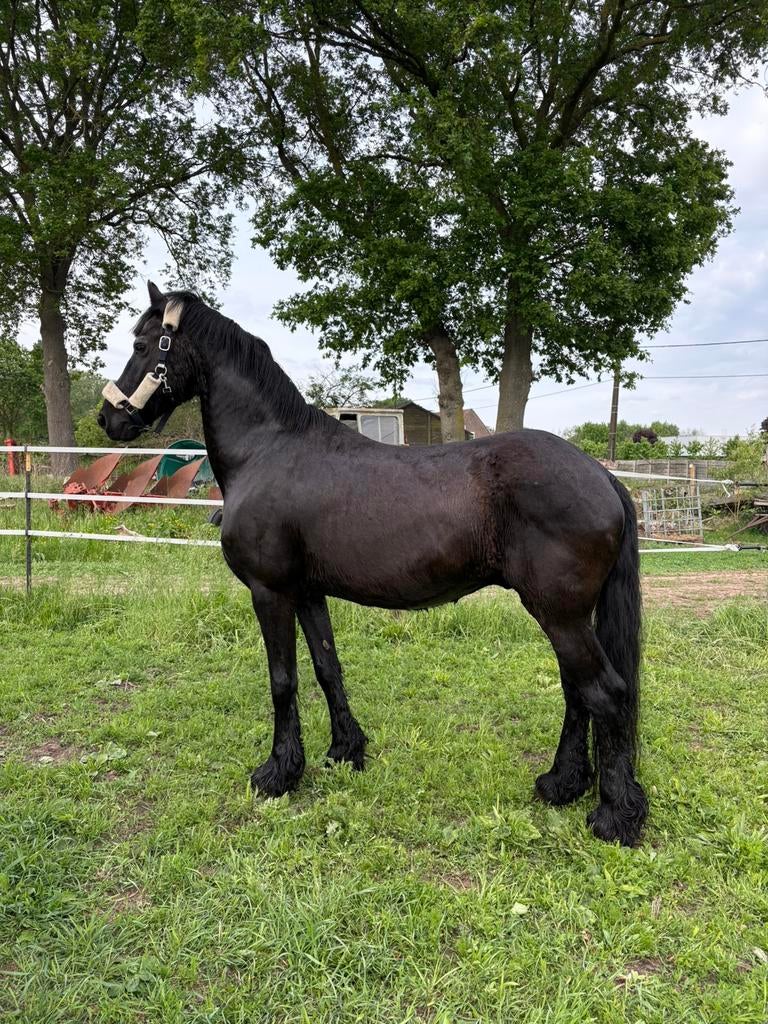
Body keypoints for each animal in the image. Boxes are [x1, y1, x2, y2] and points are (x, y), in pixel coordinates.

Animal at [98, 281, 648, 846]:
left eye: (141, 344)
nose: (108, 419)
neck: (269, 450)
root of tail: (602, 476)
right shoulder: (307, 592)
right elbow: (327, 668)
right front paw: (345, 750)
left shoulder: (270, 593)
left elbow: (282, 680)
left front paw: (278, 774)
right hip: (567, 617)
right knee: (577, 692)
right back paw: (561, 784)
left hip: (560, 615)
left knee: (604, 694)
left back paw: (614, 815)